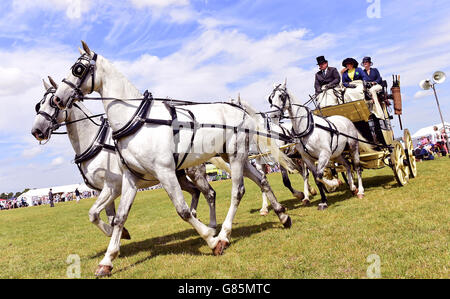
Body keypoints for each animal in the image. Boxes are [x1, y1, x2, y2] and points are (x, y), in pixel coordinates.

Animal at [31, 78, 220, 240]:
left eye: (53, 102)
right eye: (38, 105)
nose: (36, 131)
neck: (94, 141)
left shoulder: (112, 187)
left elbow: (94, 214)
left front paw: (118, 233)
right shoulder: (101, 190)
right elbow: (107, 216)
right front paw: (119, 234)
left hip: (193, 172)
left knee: (209, 193)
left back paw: (211, 225)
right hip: (176, 176)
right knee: (195, 192)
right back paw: (196, 217)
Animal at [52, 41, 294, 278]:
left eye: (78, 69)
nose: (58, 98)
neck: (136, 120)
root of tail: (239, 108)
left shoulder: (164, 172)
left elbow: (183, 210)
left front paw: (211, 240)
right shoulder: (130, 177)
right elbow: (120, 217)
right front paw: (107, 261)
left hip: (235, 156)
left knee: (237, 191)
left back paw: (224, 234)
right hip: (237, 157)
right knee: (261, 179)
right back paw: (282, 215)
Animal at [268, 81, 372, 210]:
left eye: (281, 96)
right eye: (270, 98)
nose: (272, 115)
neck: (307, 128)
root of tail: (346, 119)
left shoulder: (324, 154)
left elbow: (319, 175)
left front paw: (334, 183)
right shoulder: (307, 159)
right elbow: (317, 179)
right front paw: (323, 201)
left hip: (353, 147)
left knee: (357, 167)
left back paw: (360, 191)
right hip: (337, 154)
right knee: (347, 165)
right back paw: (352, 187)